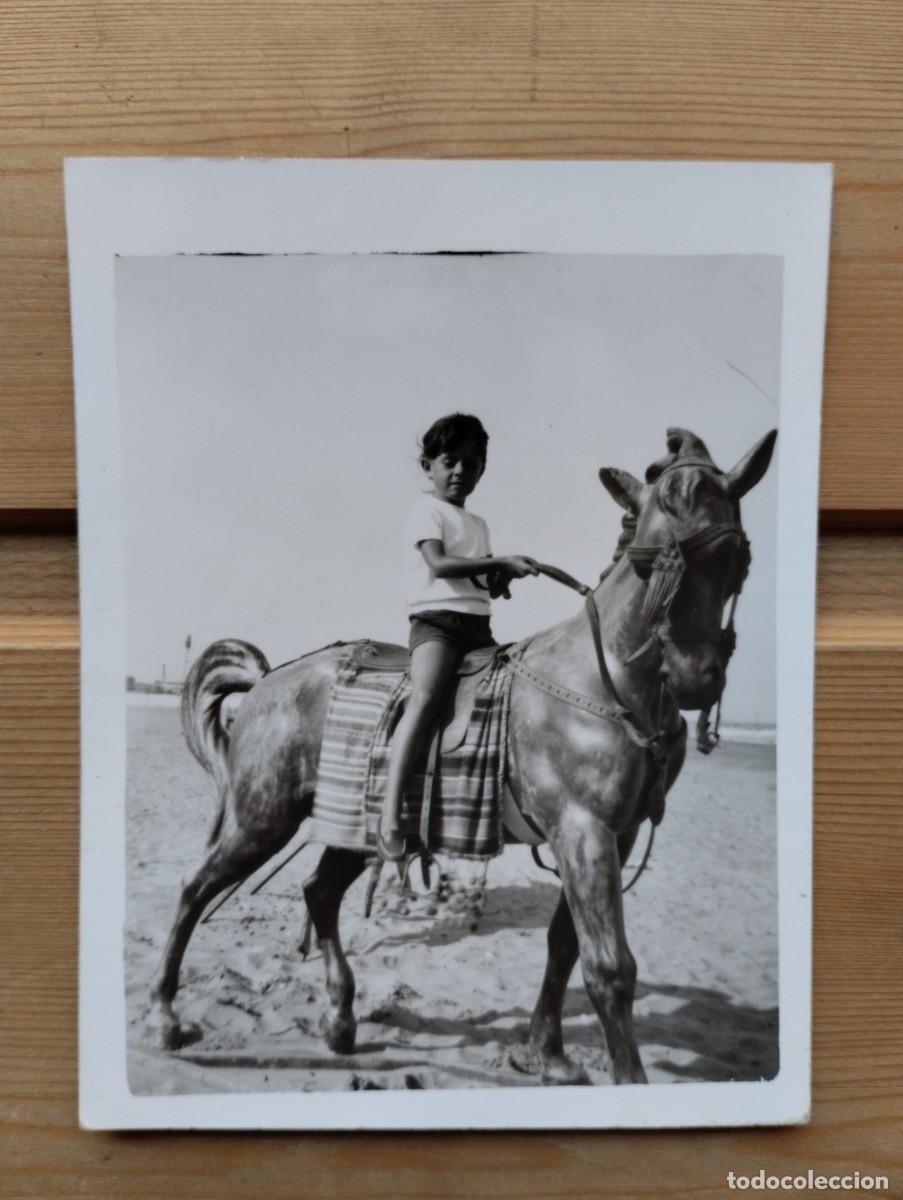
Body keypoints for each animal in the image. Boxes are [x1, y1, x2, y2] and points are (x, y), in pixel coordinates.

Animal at [149, 426, 777, 1086]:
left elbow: (564, 945)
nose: (696, 679)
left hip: (352, 824)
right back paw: (167, 1017)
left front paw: (546, 1053)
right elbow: (609, 967)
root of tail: (268, 680)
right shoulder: (583, 831)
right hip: (262, 816)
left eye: (736, 559)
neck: (600, 680)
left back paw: (340, 1019)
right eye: (651, 563)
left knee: (319, 892)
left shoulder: (612, 835)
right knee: (195, 887)